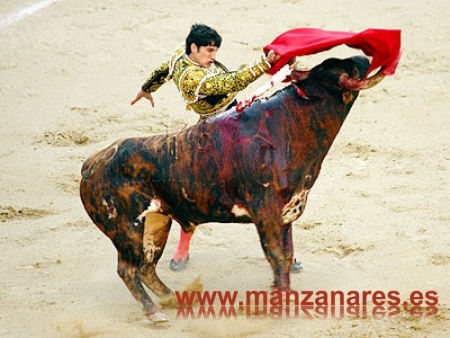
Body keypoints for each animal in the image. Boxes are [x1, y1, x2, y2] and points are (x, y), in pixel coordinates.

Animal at [79, 56, 384, 322]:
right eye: (342, 66)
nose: (363, 57)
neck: (293, 122)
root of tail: (91, 163)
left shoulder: (285, 215)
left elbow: (285, 255)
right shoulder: (267, 214)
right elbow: (278, 257)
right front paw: (282, 306)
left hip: (156, 222)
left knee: (146, 266)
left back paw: (173, 299)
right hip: (126, 229)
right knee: (128, 270)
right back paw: (155, 313)